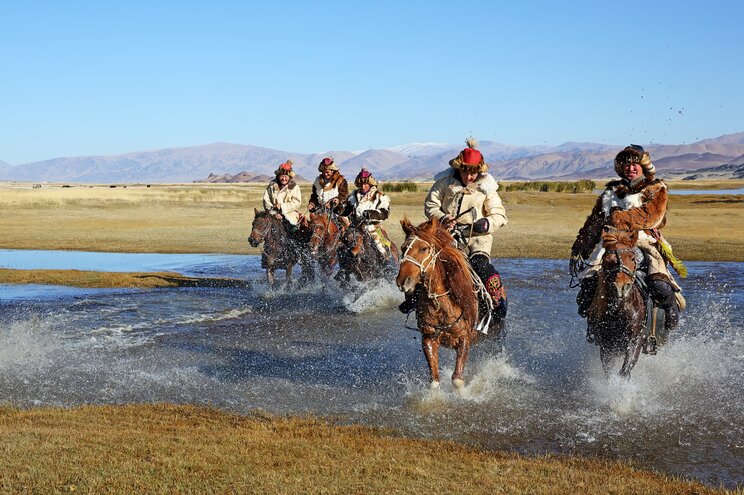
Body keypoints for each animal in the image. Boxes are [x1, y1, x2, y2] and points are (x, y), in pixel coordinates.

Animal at [396, 217, 482, 392]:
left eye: (423, 248)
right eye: (403, 248)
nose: (403, 281)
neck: (442, 307)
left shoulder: (465, 338)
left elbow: (457, 380)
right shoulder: (428, 339)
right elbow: (434, 381)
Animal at [588, 227, 648, 378]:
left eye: (632, 258)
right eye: (606, 259)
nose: (621, 288)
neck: (620, 311)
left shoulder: (635, 340)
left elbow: (625, 370)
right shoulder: (607, 345)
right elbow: (608, 371)